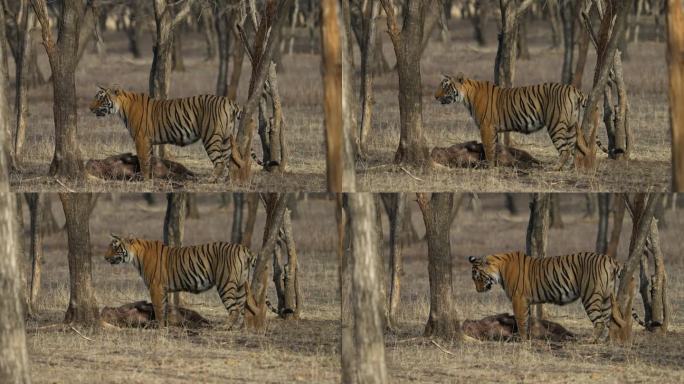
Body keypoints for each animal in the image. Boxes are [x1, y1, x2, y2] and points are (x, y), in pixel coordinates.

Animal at [89, 86, 274, 182]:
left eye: (100, 98)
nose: (90, 108)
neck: (121, 107)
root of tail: (228, 101)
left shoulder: (141, 139)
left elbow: (143, 159)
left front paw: (144, 178)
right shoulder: (147, 141)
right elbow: (149, 158)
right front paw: (150, 177)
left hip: (211, 136)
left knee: (220, 161)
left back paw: (211, 180)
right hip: (226, 137)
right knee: (229, 158)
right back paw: (226, 180)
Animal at [105, 234, 255, 328]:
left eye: (115, 247)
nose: (105, 257)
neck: (135, 255)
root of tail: (244, 248)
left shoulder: (155, 287)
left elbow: (158, 308)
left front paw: (159, 326)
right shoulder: (163, 289)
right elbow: (164, 307)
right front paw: (165, 324)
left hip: (225, 284)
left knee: (235, 308)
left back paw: (225, 327)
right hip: (241, 285)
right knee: (242, 307)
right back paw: (239, 327)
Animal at [436, 73, 592, 169]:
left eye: (446, 86)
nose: (435, 96)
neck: (467, 95)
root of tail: (573, 89)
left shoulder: (486, 127)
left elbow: (488, 148)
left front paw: (489, 166)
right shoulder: (493, 129)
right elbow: (494, 146)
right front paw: (496, 164)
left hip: (555, 124)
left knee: (565, 149)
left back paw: (555, 168)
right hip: (571, 125)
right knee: (573, 147)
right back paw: (571, 168)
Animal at [470, 252, 620, 342]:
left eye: (477, 278)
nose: (478, 290)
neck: (499, 269)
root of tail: (610, 259)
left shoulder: (518, 299)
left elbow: (521, 320)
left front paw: (522, 338)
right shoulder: (525, 301)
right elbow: (527, 319)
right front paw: (528, 336)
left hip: (590, 296)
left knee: (600, 322)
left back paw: (590, 341)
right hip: (606, 298)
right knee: (609, 321)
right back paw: (607, 341)